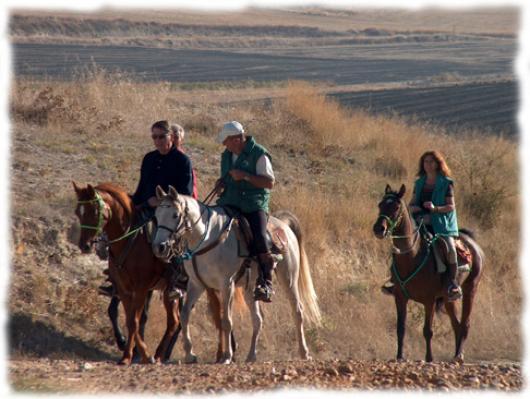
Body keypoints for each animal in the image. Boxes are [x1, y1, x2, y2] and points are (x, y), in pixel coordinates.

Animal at [71, 183, 225, 368]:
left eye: (95, 211)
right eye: (78, 212)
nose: (85, 246)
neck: (130, 240)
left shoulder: (141, 288)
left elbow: (135, 320)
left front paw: (137, 353)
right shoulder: (123, 289)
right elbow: (129, 319)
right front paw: (130, 353)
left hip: (203, 287)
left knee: (210, 316)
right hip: (171, 292)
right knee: (175, 321)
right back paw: (160, 354)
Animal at [151, 186, 320, 364]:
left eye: (175, 215)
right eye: (157, 215)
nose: (159, 247)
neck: (206, 238)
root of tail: (283, 225)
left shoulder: (227, 285)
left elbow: (226, 320)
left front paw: (227, 356)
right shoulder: (196, 285)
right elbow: (184, 315)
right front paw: (190, 354)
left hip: (289, 279)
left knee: (298, 312)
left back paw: (304, 352)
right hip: (250, 289)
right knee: (258, 319)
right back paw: (251, 355)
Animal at [372, 184, 482, 362]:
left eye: (396, 207)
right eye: (380, 205)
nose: (378, 229)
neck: (412, 256)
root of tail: (473, 245)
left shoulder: (429, 300)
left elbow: (427, 331)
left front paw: (429, 358)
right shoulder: (400, 298)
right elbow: (400, 328)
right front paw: (399, 356)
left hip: (470, 289)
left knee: (465, 324)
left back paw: (459, 356)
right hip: (448, 299)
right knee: (456, 325)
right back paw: (455, 355)